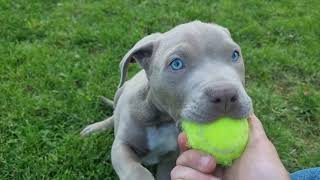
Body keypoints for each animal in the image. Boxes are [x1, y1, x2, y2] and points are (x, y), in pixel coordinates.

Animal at [80, 21, 252, 180]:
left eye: (235, 55)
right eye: (176, 64)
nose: (225, 95)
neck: (163, 120)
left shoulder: (170, 159)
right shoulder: (121, 147)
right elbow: (136, 171)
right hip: (120, 91)